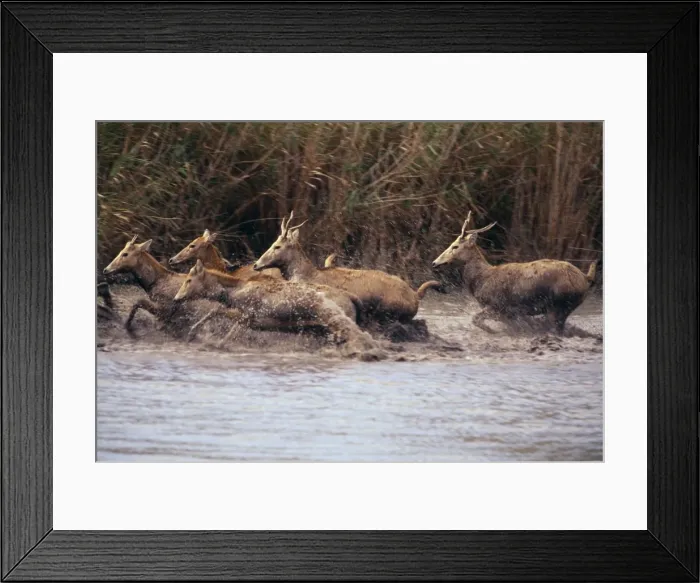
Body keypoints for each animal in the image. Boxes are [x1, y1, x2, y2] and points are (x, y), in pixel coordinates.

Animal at [174, 259, 383, 359]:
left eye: (189, 280)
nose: (177, 298)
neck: (232, 293)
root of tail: (353, 299)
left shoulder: (249, 317)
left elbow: (227, 334)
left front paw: (211, 342)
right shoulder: (245, 316)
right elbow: (214, 311)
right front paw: (192, 333)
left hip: (336, 323)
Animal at [432, 211, 597, 335]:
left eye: (455, 246)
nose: (434, 262)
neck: (480, 280)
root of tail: (586, 277)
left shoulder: (498, 306)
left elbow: (476, 319)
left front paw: (494, 332)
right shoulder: (510, 314)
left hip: (559, 306)